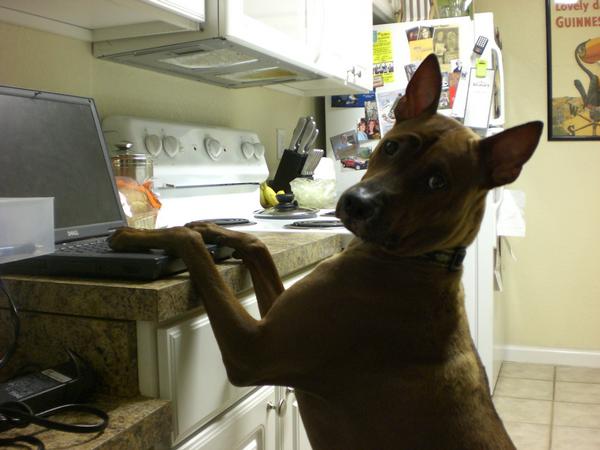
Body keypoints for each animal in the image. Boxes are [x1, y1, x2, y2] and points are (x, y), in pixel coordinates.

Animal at [109, 54, 544, 448]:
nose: (356, 204)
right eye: (391, 147)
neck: (416, 260)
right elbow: (256, 245)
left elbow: (196, 251)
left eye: (437, 182)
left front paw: (134, 234)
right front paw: (211, 225)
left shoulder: (253, 349)